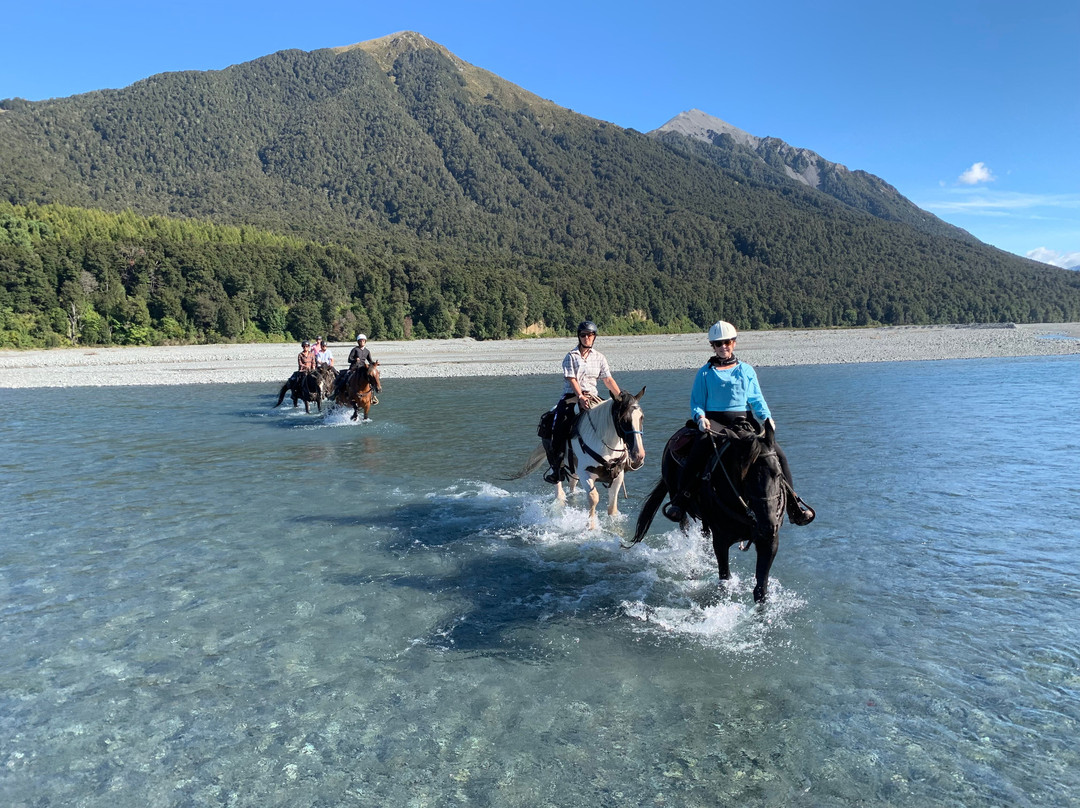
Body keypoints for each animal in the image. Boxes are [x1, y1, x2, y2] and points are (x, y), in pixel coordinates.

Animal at [512, 388, 646, 530]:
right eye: (623, 419)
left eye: (641, 417)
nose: (639, 456)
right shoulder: (585, 473)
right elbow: (593, 497)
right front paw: (591, 527)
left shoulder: (618, 475)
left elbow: (612, 506)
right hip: (553, 459)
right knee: (558, 487)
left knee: (572, 485)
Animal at [631, 420, 786, 603]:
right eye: (746, 478)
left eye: (778, 474)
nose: (768, 525)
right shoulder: (721, 540)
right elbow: (724, 579)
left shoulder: (769, 542)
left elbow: (761, 589)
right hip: (679, 505)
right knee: (685, 529)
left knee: (704, 535)